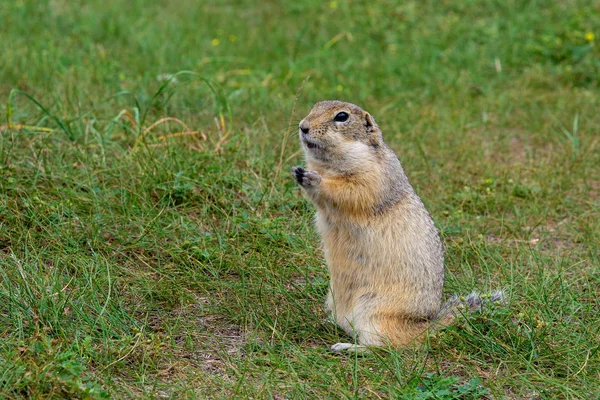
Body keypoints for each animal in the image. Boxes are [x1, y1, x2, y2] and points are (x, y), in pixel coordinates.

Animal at [290, 101, 502, 352]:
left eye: (341, 116)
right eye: (315, 106)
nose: (303, 126)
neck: (329, 165)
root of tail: (422, 328)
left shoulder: (373, 175)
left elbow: (351, 191)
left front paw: (313, 178)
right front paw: (297, 172)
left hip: (373, 311)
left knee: (384, 347)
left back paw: (347, 346)